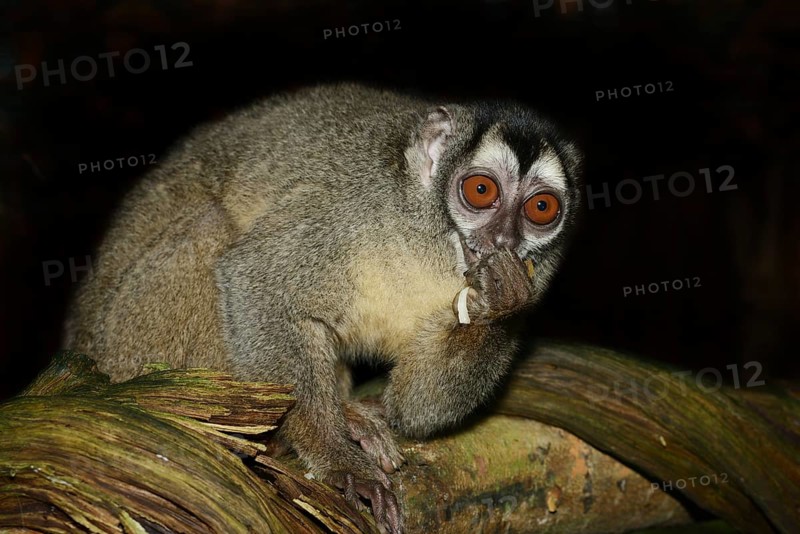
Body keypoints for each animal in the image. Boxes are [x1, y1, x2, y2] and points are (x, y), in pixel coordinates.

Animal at [62, 82, 583, 534]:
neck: (430, 246)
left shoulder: (535, 280)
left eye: (540, 209)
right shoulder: (347, 209)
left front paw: (499, 303)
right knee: (212, 228)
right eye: (480, 191)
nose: (503, 240)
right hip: (128, 343)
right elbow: (257, 277)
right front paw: (337, 459)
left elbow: (417, 412)